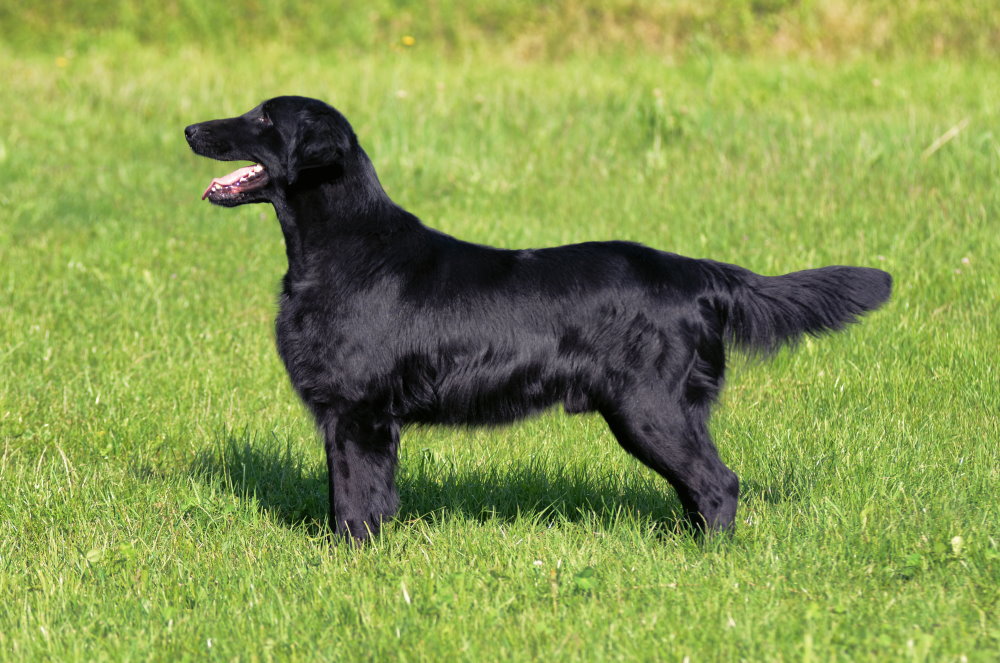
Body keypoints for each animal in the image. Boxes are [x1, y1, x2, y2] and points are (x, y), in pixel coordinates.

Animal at [186, 100, 892, 544]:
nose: (190, 129)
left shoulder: (359, 413)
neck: (344, 247)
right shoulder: (355, 418)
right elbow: (359, 499)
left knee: (719, 485)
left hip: (650, 409)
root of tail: (696, 272)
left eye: (263, 117)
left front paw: (352, 565)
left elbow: (355, 506)